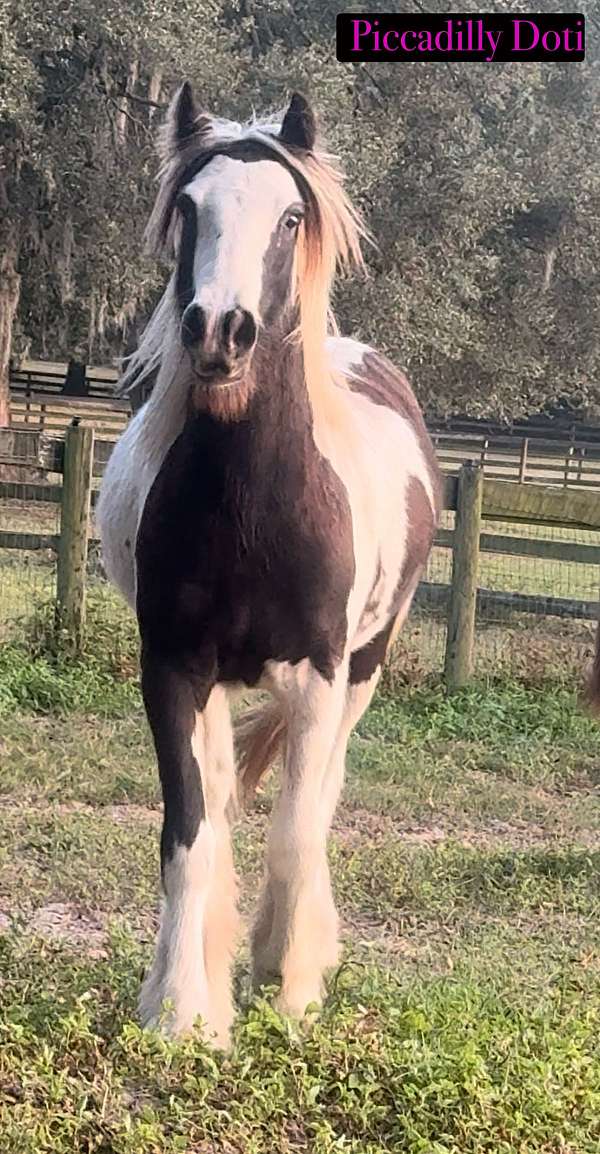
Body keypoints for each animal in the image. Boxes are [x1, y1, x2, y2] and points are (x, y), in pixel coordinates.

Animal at [96, 85, 443, 1052]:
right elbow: (189, 829)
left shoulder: (321, 673)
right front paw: (183, 1009)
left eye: (291, 216)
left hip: (365, 667)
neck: (253, 509)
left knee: (318, 799)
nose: (219, 330)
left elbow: (294, 829)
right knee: (219, 796)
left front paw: (289, 989)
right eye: (188, 207)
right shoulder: (173, 666)